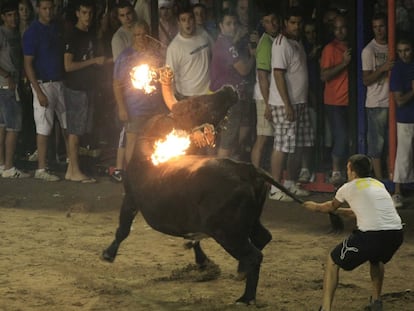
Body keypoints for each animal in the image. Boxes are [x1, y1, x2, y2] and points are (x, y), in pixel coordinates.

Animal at [102, 154, 302, 304]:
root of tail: (246, 169)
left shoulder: (130, 198)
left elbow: (123, 229)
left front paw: (108, 254)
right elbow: (194, 240)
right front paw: (203, 262)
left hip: (227, 232)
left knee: (254, 254)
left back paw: (246, 298)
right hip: (249, 222)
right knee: (262, 238)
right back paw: (242, 273)